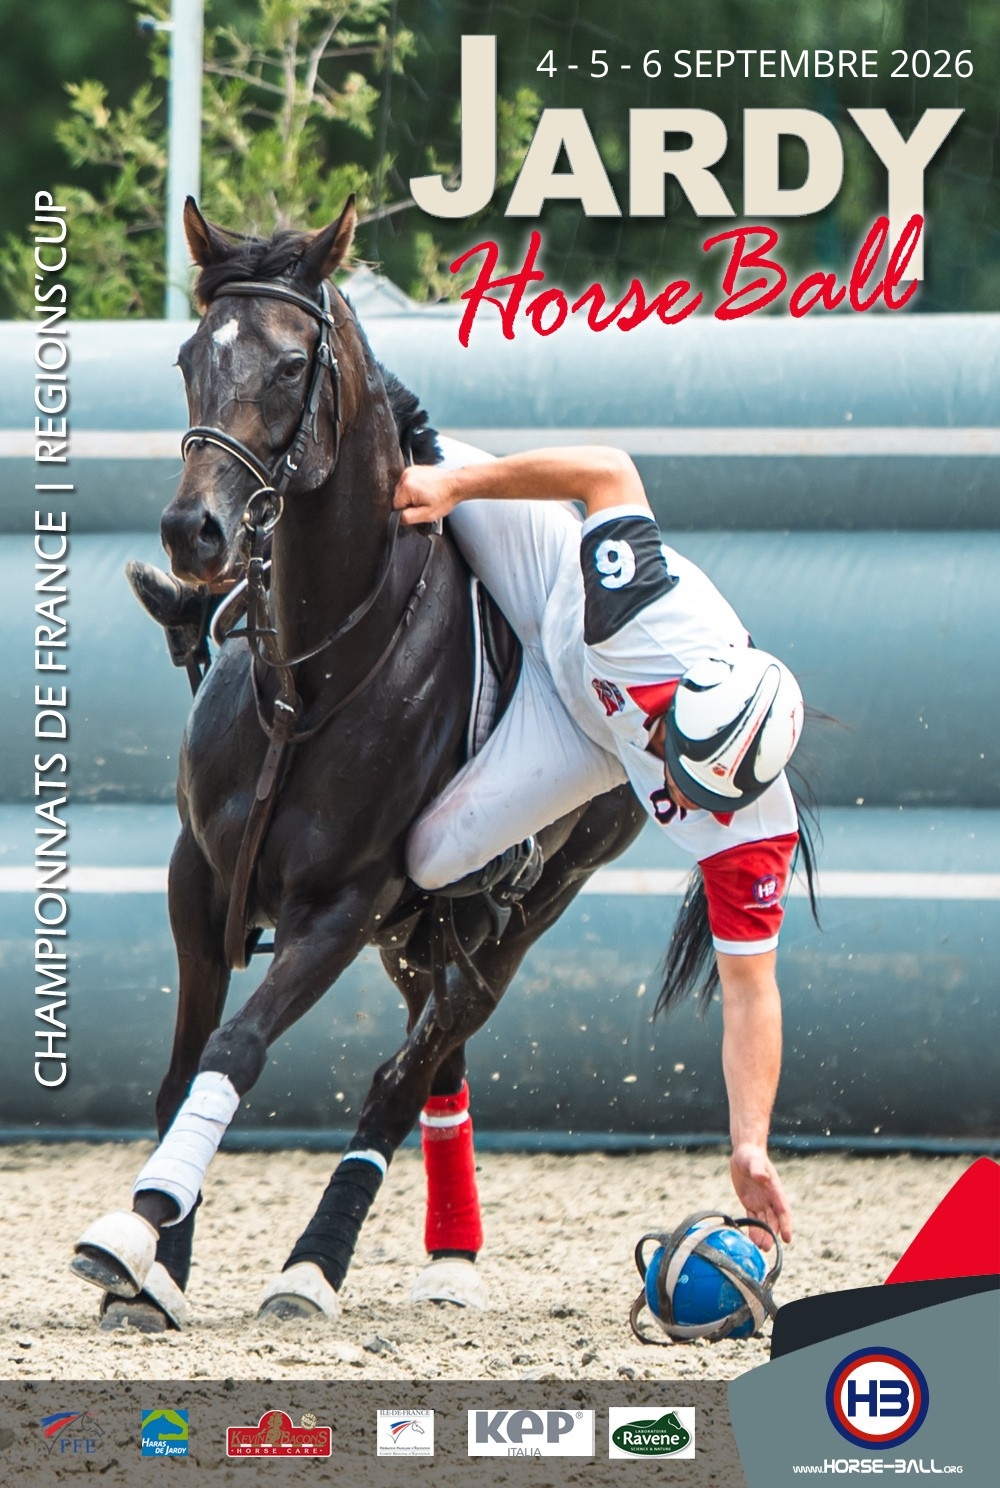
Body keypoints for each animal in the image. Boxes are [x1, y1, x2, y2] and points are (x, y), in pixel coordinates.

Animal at [70, 196, 647, 1331]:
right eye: (189, 357)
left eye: (294, 364)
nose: (194, 530)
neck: (309, 676)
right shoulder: (199, 880)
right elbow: (180, 1071)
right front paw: (161, 1263)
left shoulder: (341, 904)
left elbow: (235, 1050)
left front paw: (136, 1229)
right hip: (427, 932)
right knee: (437, 1065)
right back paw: (449, 1257)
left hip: (522, 913)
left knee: (403, 1074)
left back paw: (314, 1266)